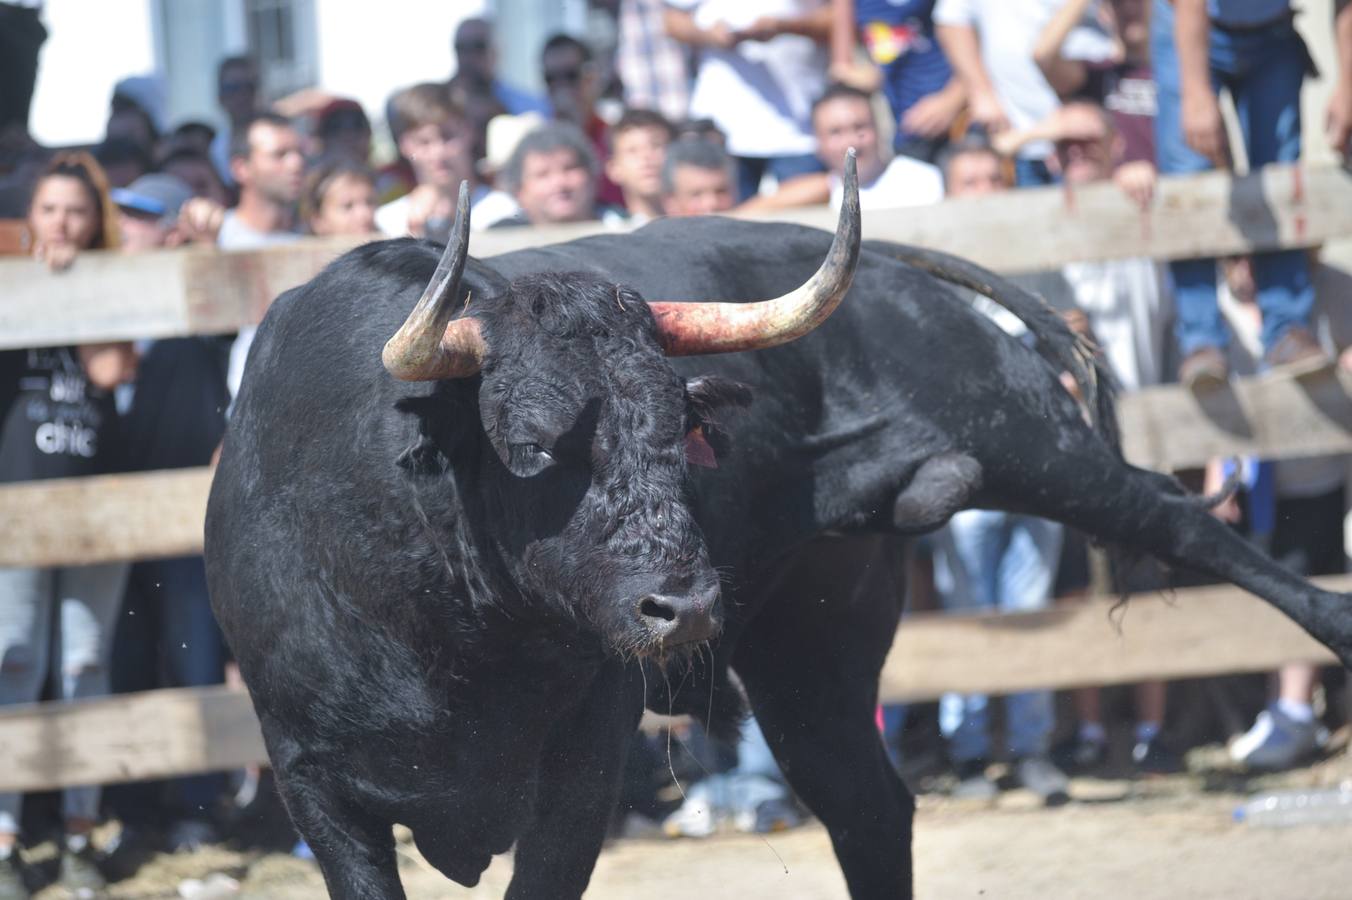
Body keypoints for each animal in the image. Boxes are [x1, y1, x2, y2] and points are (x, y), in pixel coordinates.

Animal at [202, 213, 1352, 891]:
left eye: (678, 431)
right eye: (529, 445)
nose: (685, 607)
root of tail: (890, 269)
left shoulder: (582, 763)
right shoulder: (318, 789)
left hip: (1026, 439)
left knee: (1178, 519)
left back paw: (1336, 623)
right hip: (812, 651)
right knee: (865, 805)